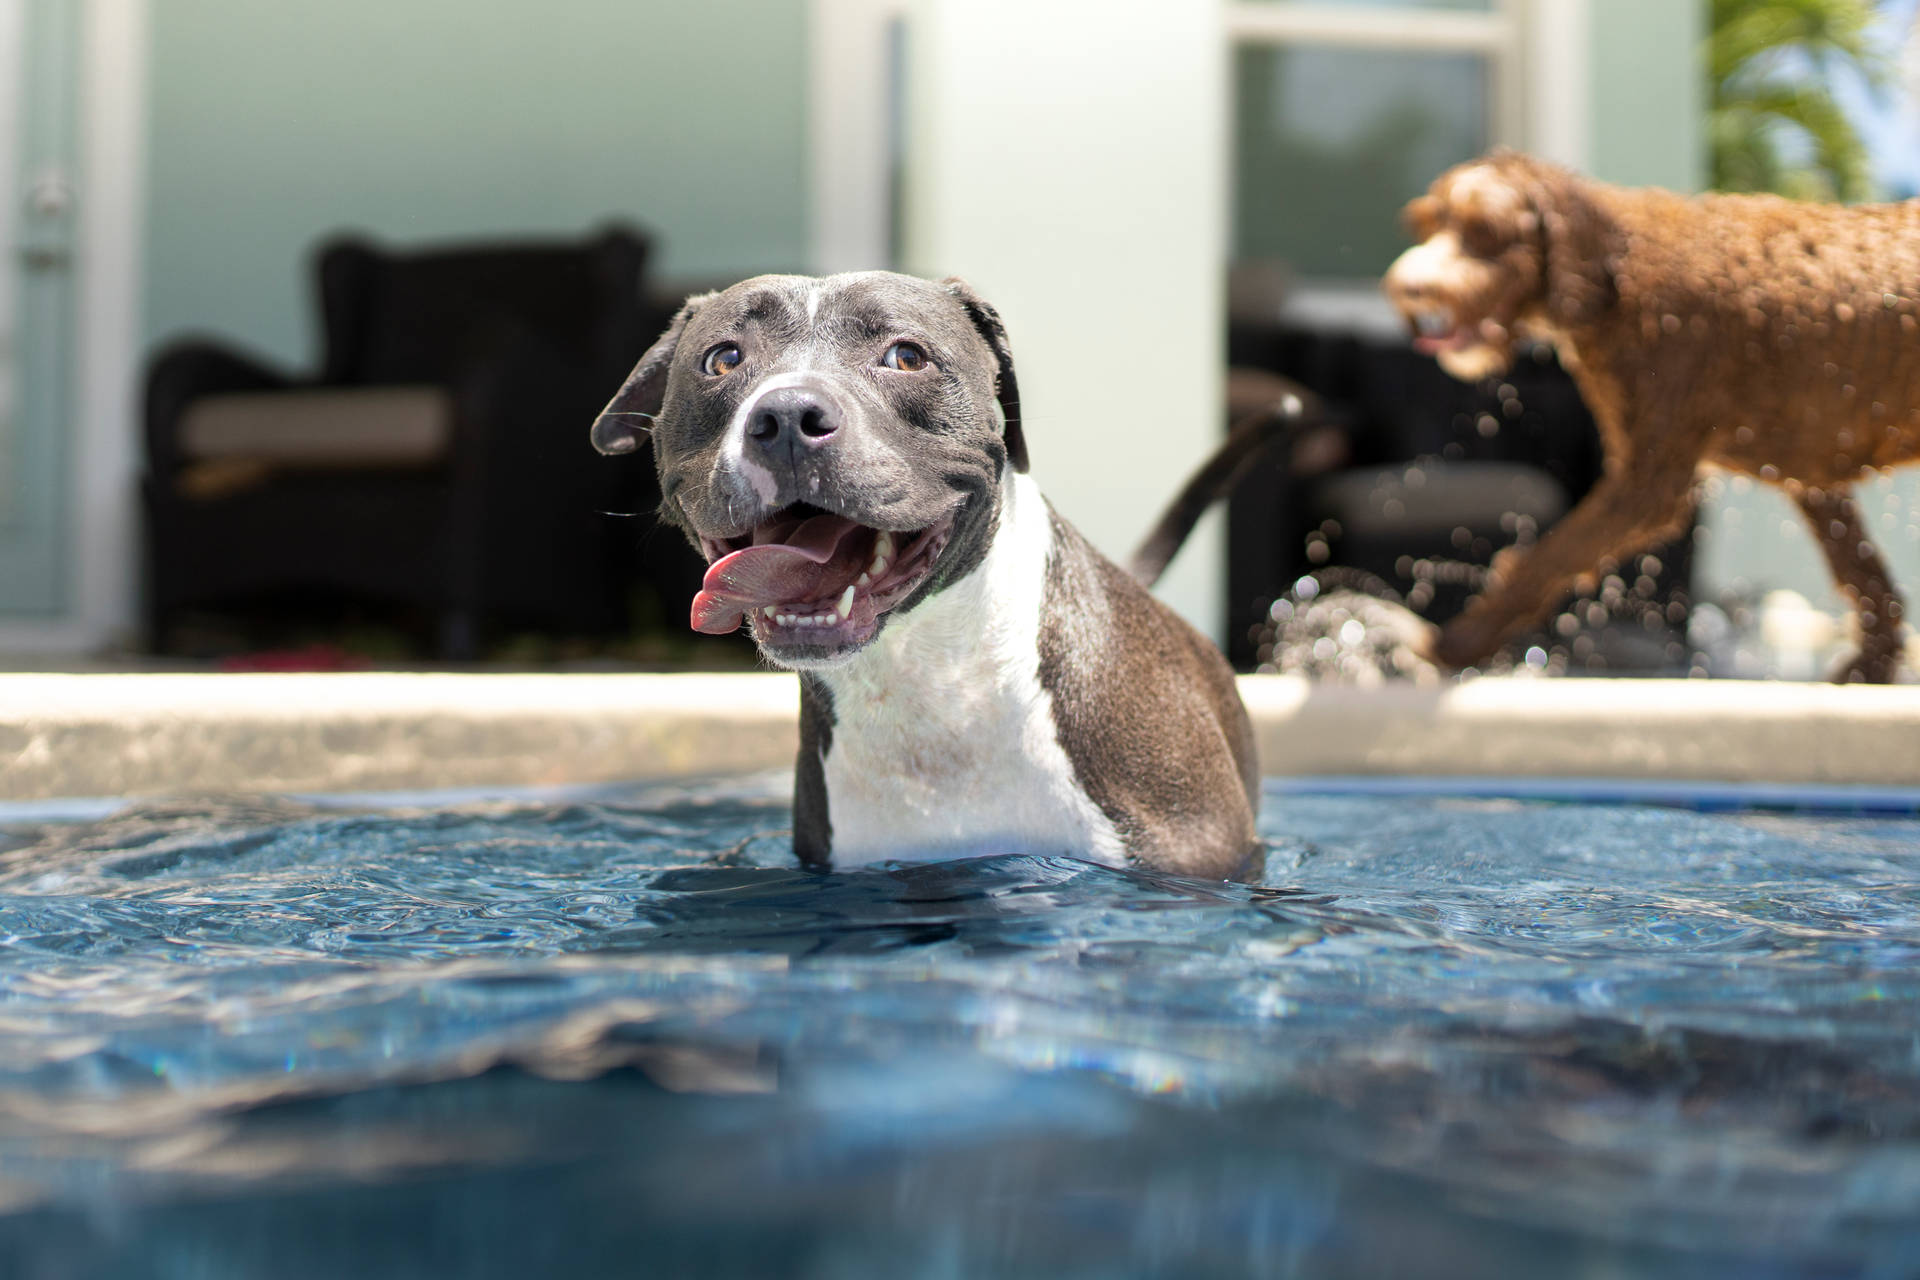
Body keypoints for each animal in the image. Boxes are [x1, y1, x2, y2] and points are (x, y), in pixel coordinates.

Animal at [1390, 148, 1912, 679]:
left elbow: (1547, 561)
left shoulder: (1650, 483)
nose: (1411, 287)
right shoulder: (1811, 473)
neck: (1615, 268)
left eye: (1485, 231)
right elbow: (1865, 577)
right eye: (1426, 224)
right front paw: (1869, 670)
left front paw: (1448, 646)